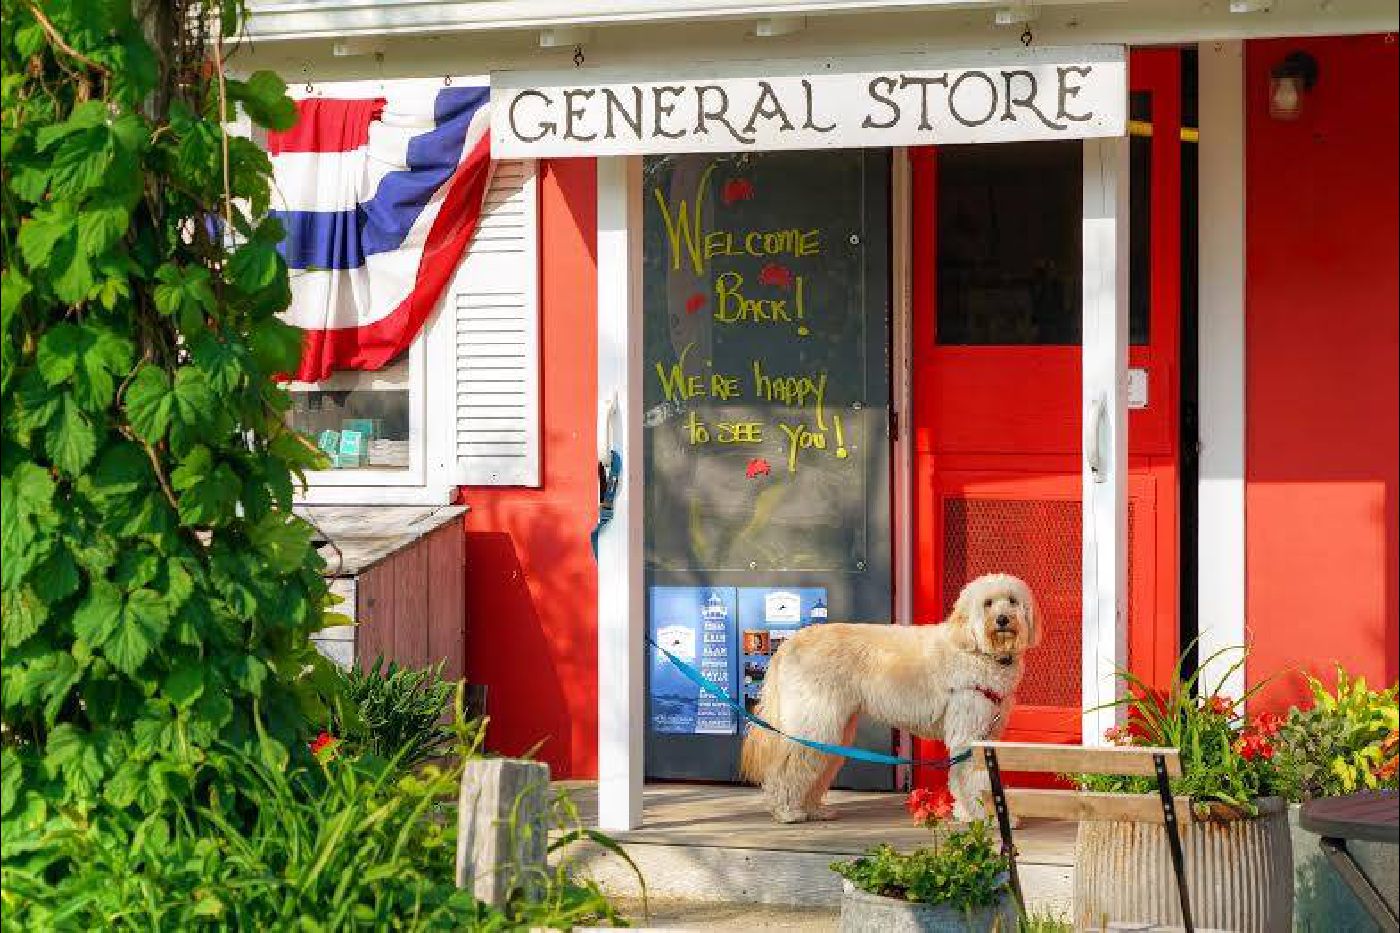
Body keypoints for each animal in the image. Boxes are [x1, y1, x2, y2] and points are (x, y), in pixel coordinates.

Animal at [739, 565, 1036, 823]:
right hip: (814, 721)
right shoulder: (968, 732)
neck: (976, 649)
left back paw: (812, 809)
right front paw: (985, 818)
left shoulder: (987, 734)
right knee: (787, 766)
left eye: (1012, 601)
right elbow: (972, 778)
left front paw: (969, 814)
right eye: (988, 603)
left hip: (833, 728)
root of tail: (788, 644)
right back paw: (787, 811)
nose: (1002, 619)